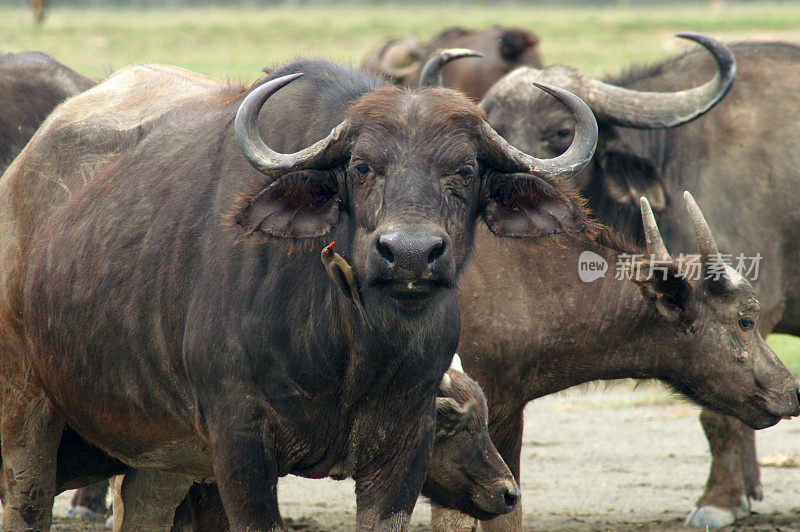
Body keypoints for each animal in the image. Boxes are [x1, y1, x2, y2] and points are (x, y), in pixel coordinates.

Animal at [478, 36, 800, 528]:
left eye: (561, 132)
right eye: (494, 128)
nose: (511, 185)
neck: (676, 158)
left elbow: (721, 415)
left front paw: (720, 500)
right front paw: (746, 490)